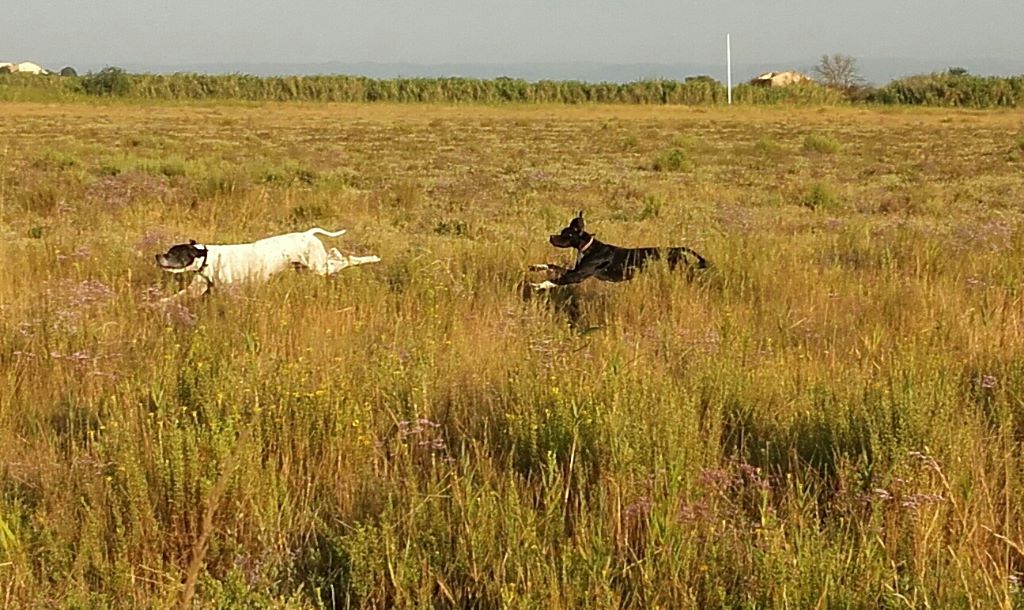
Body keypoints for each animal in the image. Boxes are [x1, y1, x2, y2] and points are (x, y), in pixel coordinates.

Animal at [149, 226, 378, 300]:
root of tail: (307, 233)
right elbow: (173, 298)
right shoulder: (196, 289)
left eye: (174, 253)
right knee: (335, 255)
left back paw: (372, 258)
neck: (207, 258)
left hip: (319, 267)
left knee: (348, 259)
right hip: (313, 266)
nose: (157, 255)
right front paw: (155, 304)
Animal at [524, 211, 708, 290]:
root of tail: (678, 248)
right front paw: (537, 267)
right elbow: (552, 266)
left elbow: (555, 280)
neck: (589, 248)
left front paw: (538, 285)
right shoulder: (576, 271)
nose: (551, 237)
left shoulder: (577, 276)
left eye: (566, 234)